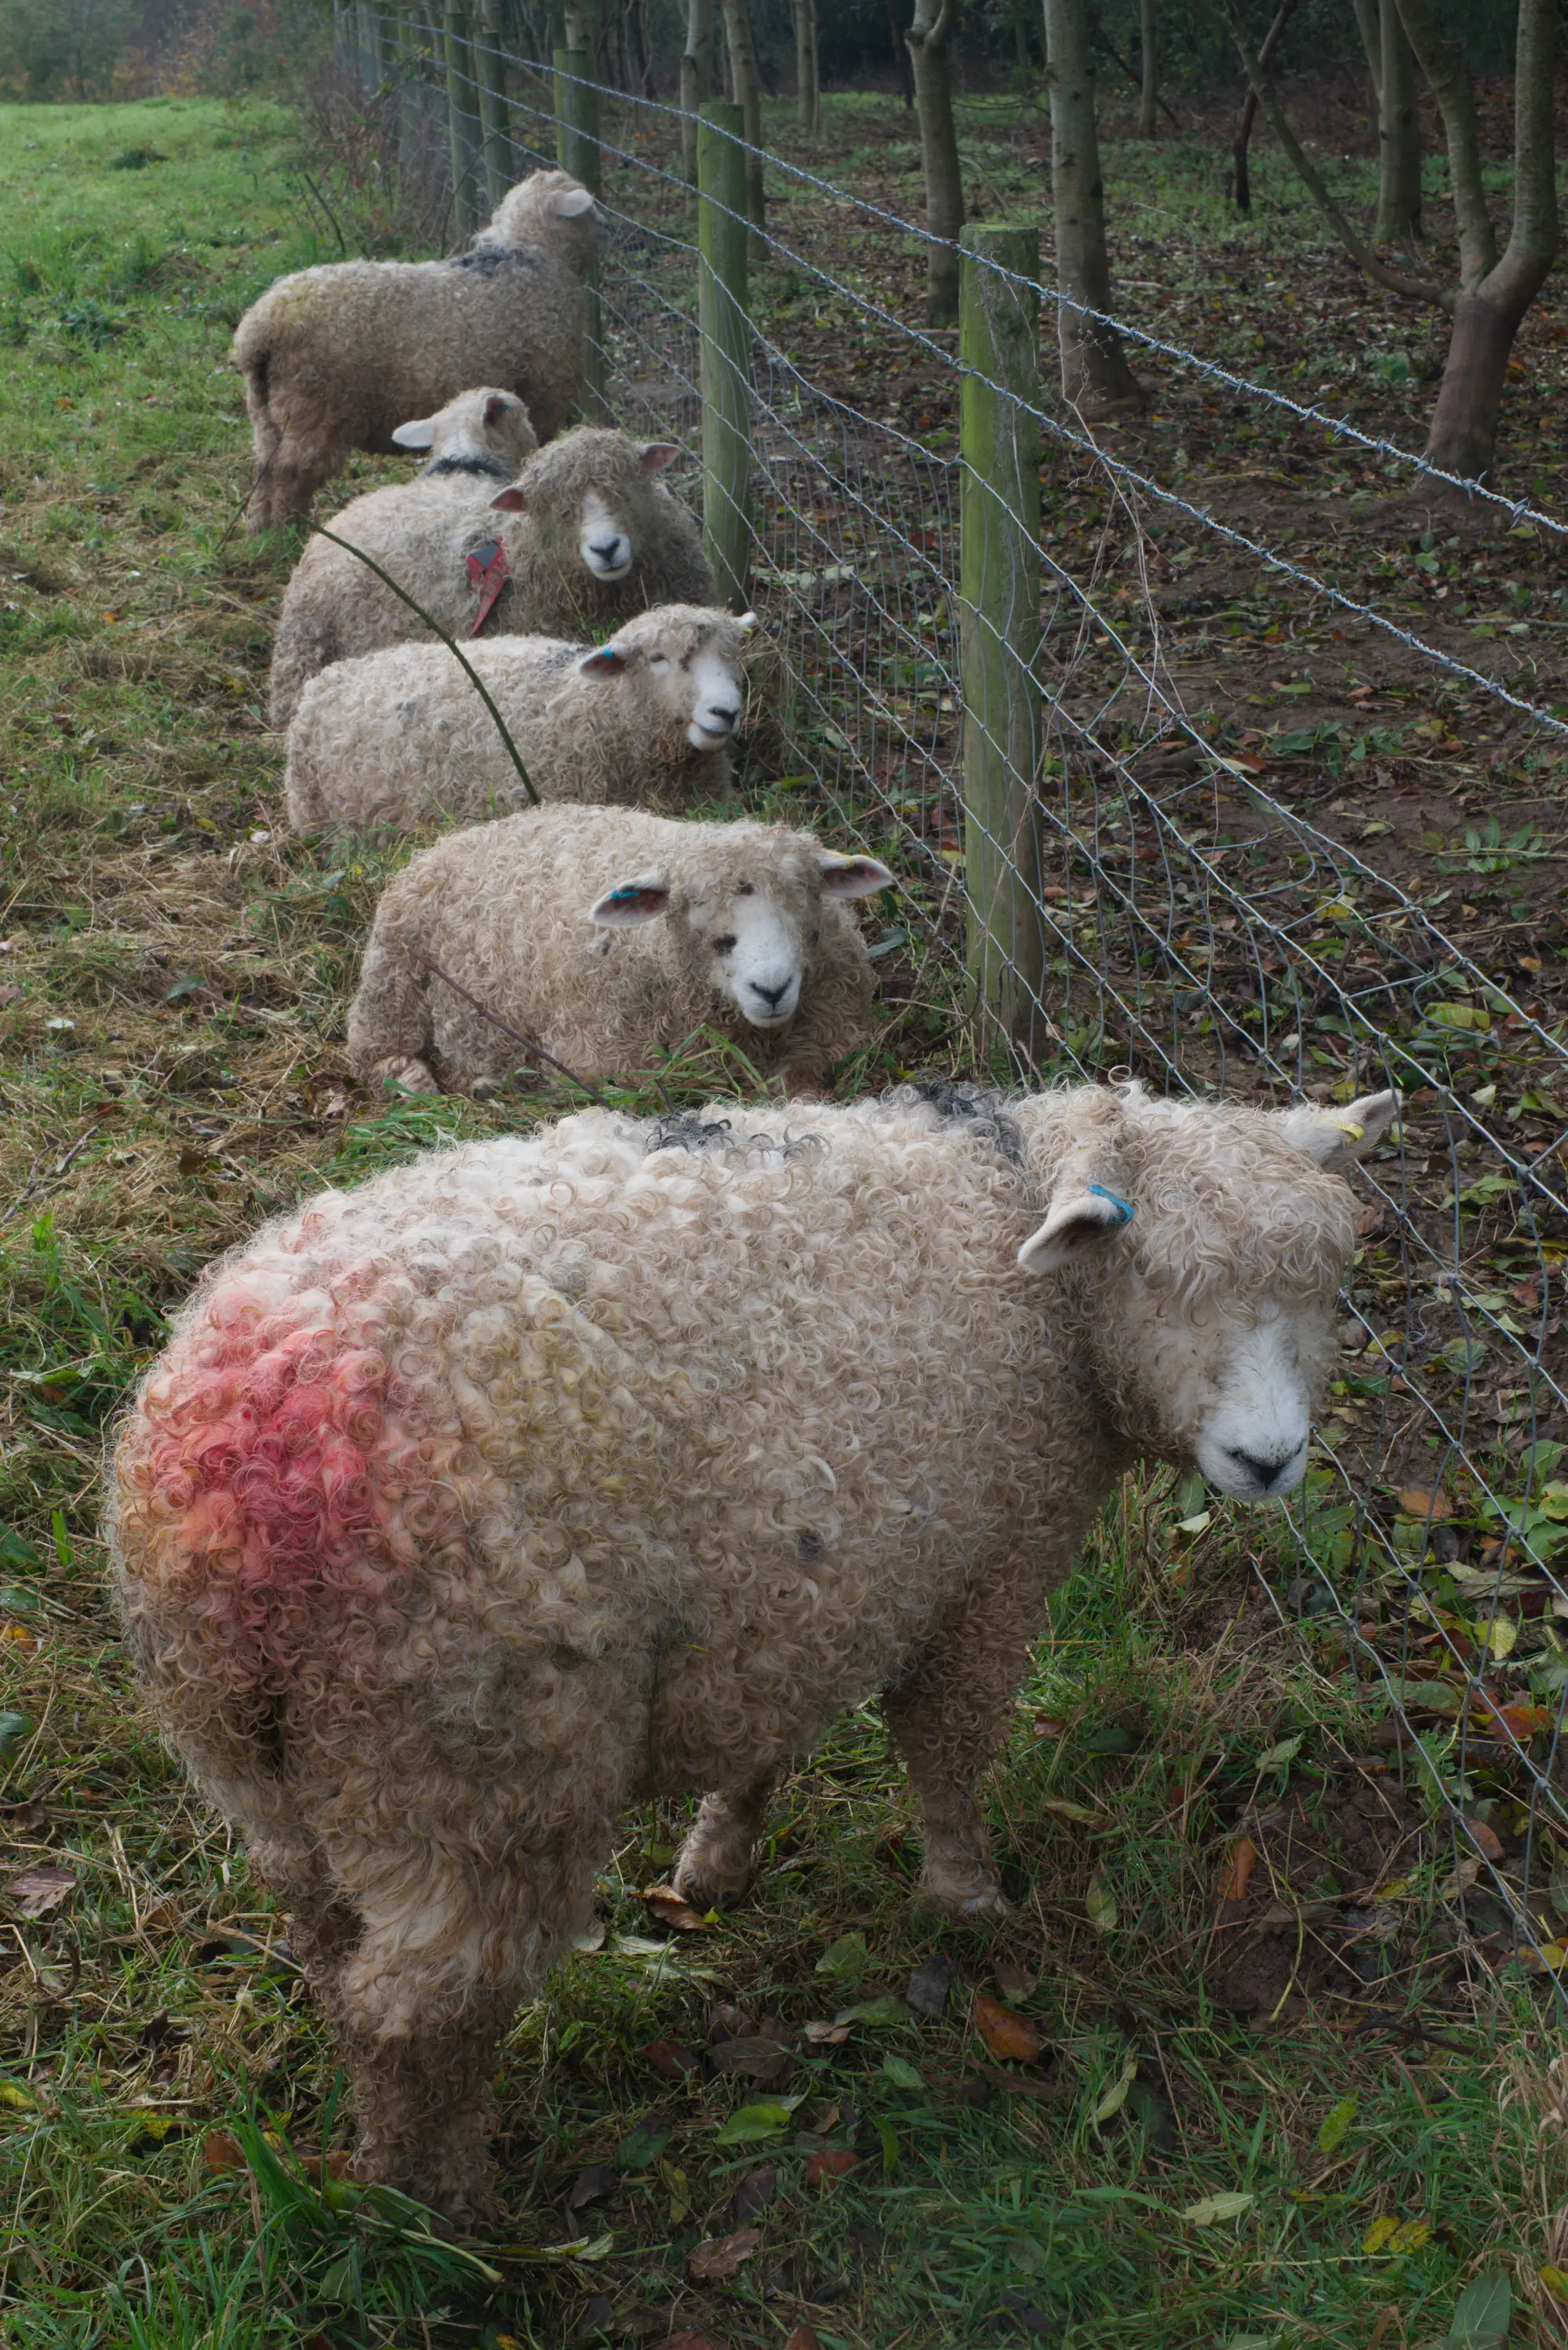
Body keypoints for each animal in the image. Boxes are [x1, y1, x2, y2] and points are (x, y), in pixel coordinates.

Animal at [106, 1077, 1397, 2223]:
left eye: (1321, 1284)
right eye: (1159, 1279)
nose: (1269, 1459)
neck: (1021, 1257)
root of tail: (247, 1461)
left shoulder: (798, 1584)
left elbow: (763, 1733)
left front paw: (715, 1862)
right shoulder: (987, 1567)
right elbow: (946, 1745)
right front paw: (963, 1898)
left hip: (269, 1764)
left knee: (326, 1940)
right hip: (471, 1761)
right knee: (415, 2011)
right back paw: (438, 2208)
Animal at [234, 169, 598, 533]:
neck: (530, 259)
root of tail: (260, 328)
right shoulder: (547, 393)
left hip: (266, 410)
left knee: (266, 470)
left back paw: (261, 530)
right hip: (313, 407)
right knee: (291, 474)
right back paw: (290, 531)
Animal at [344, 805, 893, 1097]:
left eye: (807, 896)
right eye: (691, 905)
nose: (772, 988)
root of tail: (458, 836)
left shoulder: (841, 1028)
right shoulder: (599, 1063)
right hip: (391, 978)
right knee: (373, 1054)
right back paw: (428, 1080)